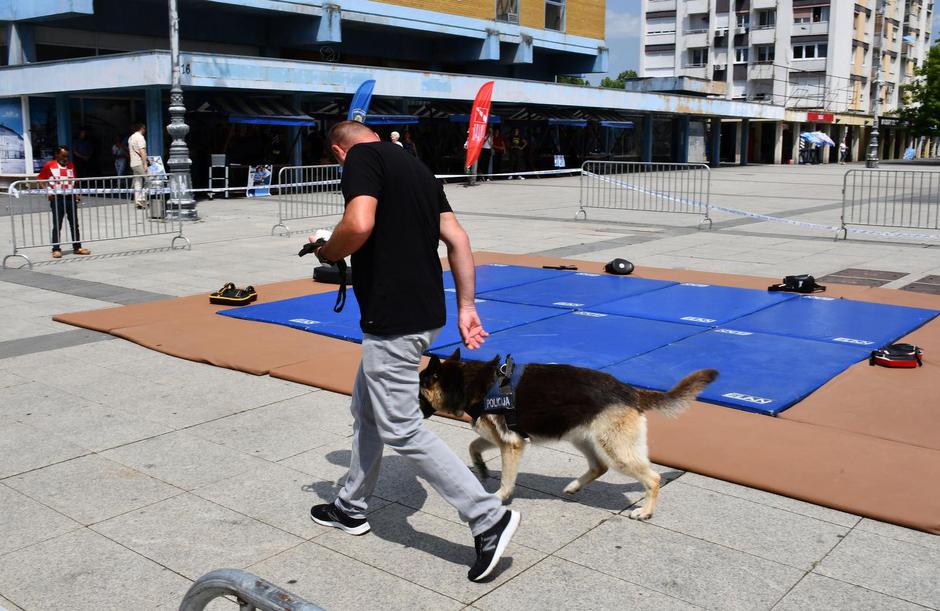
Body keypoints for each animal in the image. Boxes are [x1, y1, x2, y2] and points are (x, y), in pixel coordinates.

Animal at [420, 352, 720, 520]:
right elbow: (473, 446)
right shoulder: (500, 438)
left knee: (653, 478)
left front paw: (499, 497)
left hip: (616, 450)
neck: (465, 382)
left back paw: (645, 511)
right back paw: (574, 487)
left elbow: (506, 479)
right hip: (582, 438)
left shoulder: (511, 445)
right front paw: (481, 469)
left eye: (417, 389)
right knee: (599, 467)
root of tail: (630, 391)